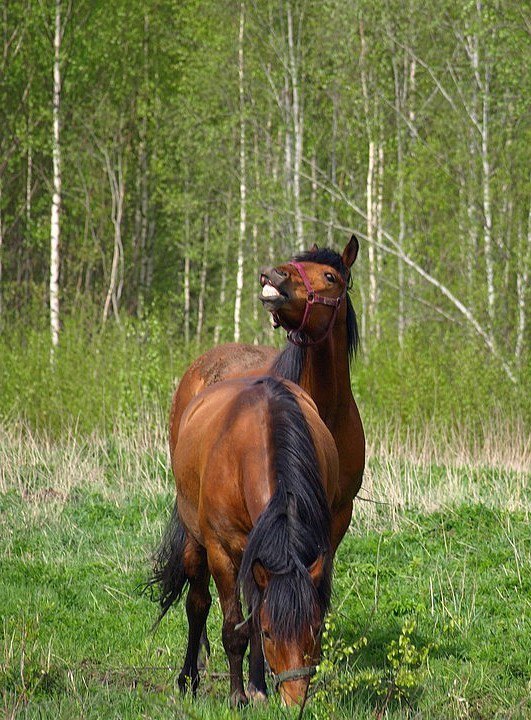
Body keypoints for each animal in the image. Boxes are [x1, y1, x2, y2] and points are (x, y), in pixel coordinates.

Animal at [150, 376, 340, 708]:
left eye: (315, 630)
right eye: (269, 633)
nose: (294, 700)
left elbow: (251, 619)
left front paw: (255, 688)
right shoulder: (222, 554)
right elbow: (234, 629)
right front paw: (237, 696)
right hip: (196, 542)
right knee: (197, 604)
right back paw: (189, 679)